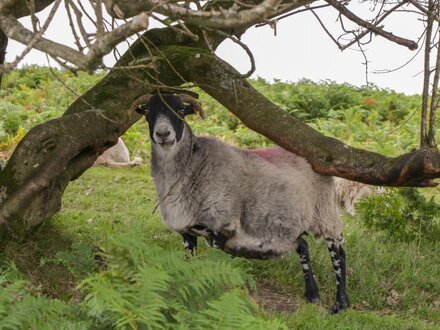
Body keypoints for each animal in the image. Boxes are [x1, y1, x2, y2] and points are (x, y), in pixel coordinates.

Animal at [136, 93, 348, 314]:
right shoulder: (188, 231)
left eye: (180, 110)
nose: (163, 134)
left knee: (339, 253)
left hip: (326, 213)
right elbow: (190, 262)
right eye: (148, 111)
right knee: (303, 247)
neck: (194, 166)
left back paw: (340, 304)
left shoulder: (221, 227)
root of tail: (316, 160)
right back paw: (312, 295)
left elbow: (215, 263)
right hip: (290, 222)